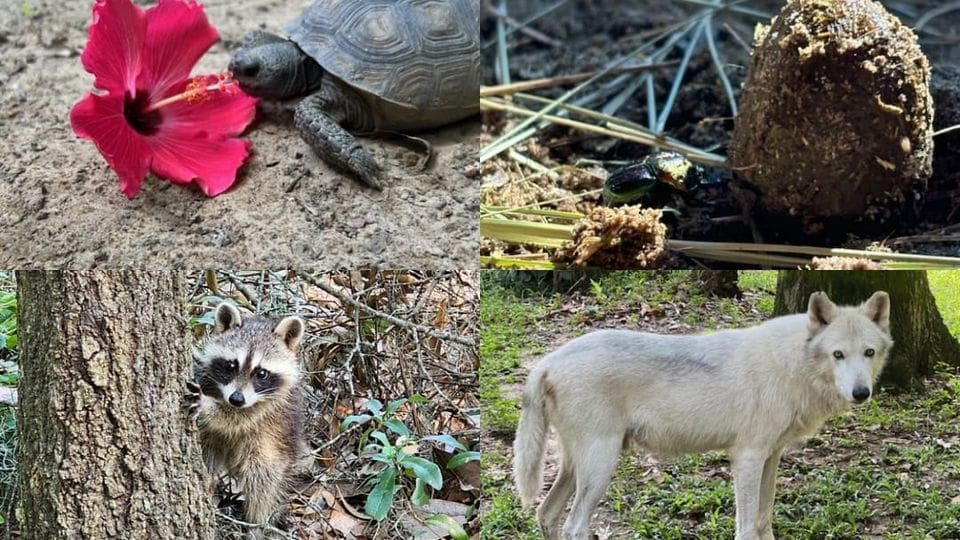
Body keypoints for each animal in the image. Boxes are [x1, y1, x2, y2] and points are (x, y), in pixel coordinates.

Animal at [192, 302, 316, 532]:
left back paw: (258, 522)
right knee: (210, 452)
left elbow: (234, 419)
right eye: (231, 365)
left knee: (262, 478)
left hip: (272, 447)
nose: (236, 399)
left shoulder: (269, 408)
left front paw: (208, 405)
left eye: (261, 373)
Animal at [512, 292, 896, 540]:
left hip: (577, 466)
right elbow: (746, 528)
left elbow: (764, 520)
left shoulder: (771, 456)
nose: (861, 393)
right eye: (837, 355)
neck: (792, 364)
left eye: (868, 353)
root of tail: (548, 361)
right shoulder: (747, 458)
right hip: (601, 465)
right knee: (573, 527)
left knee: (546, 514)